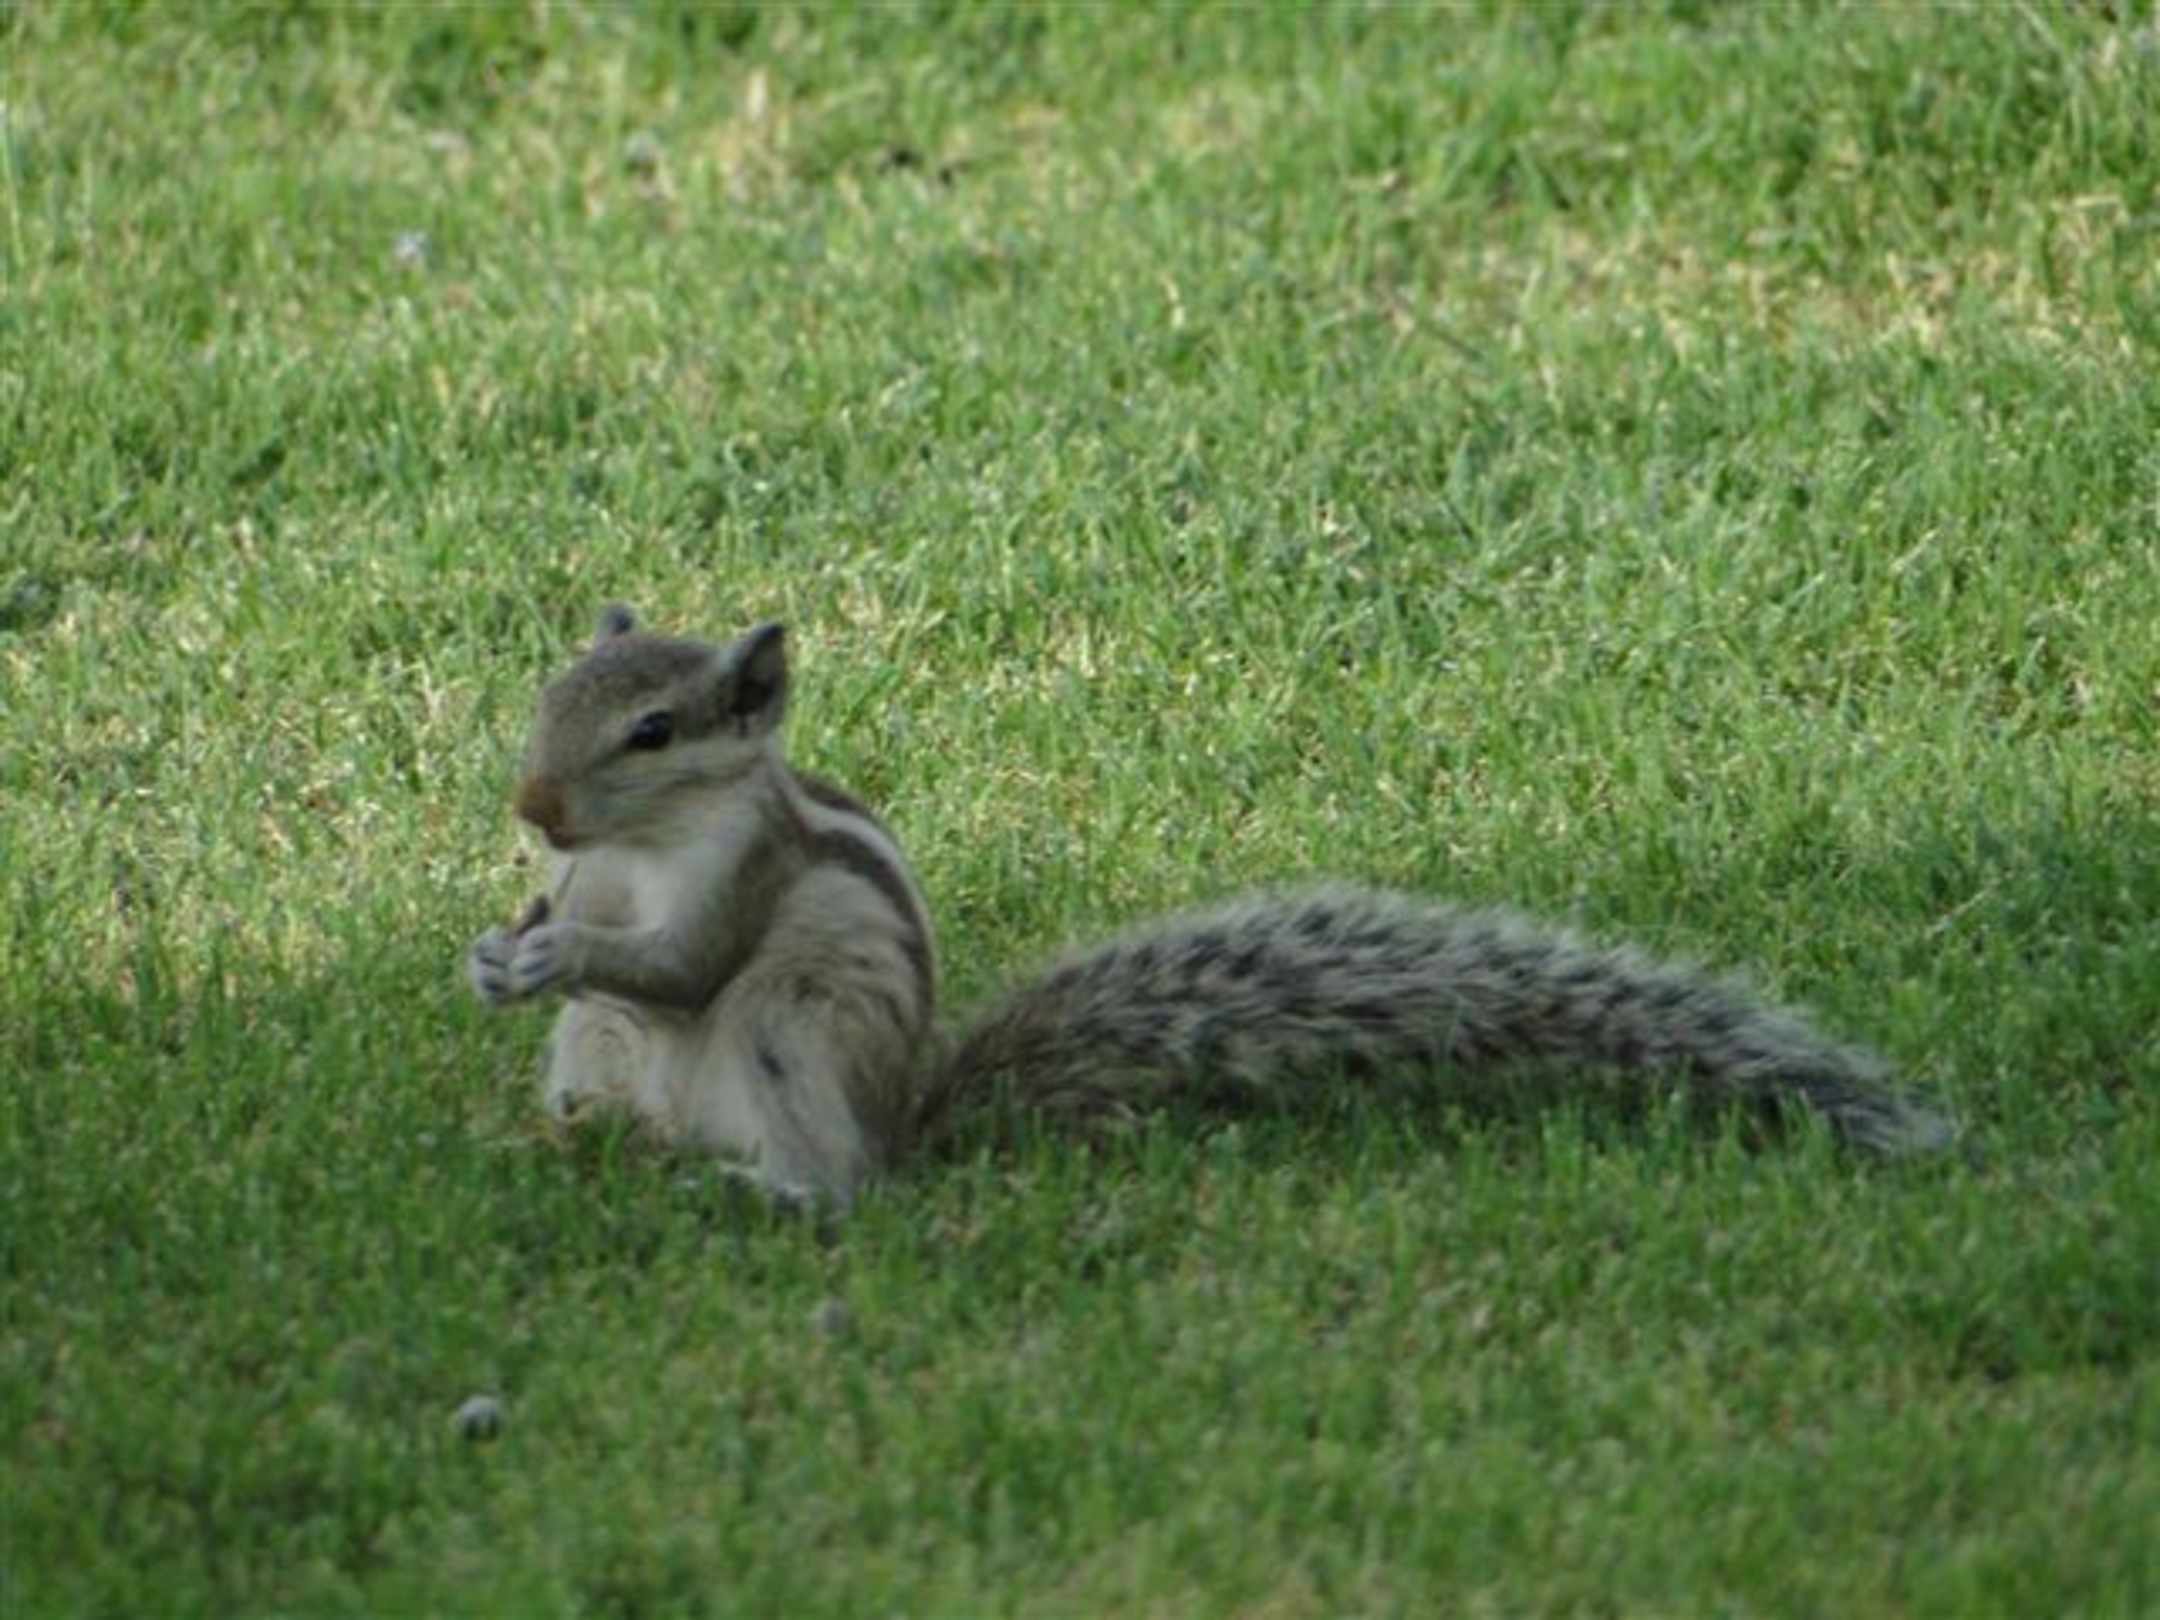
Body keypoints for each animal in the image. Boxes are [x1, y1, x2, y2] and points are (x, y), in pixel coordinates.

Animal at [467, 606, 1955, 1206]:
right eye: (548, 693)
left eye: (654, 731)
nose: (533, 804)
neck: (641, 848)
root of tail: (911, 1124)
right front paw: (502, 949)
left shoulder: (744, 881)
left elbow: (679, 963)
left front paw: (559, 951)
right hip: (601, 1062)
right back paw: (573, 1147)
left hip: (791, 1033)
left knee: (845, 1181)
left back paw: (777, 1192)